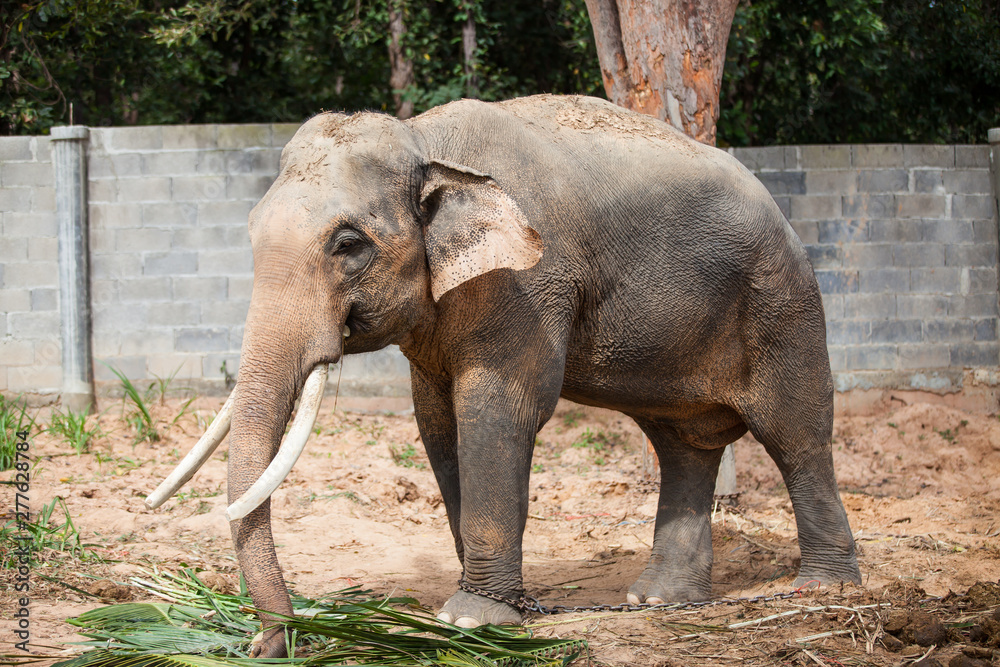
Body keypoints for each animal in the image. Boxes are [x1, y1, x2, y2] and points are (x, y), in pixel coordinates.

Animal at [146, 94, 861, 658]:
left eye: (348, 245)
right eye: (250, 231)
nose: (266, 643)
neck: (425, 140)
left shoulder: (525, 286)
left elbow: (494, 411)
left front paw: (473, 619)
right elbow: (437, 424)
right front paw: (492, 606)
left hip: (783, 303)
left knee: (795, 434)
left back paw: (823, 587)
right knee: (682, 446)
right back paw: (660, 602)